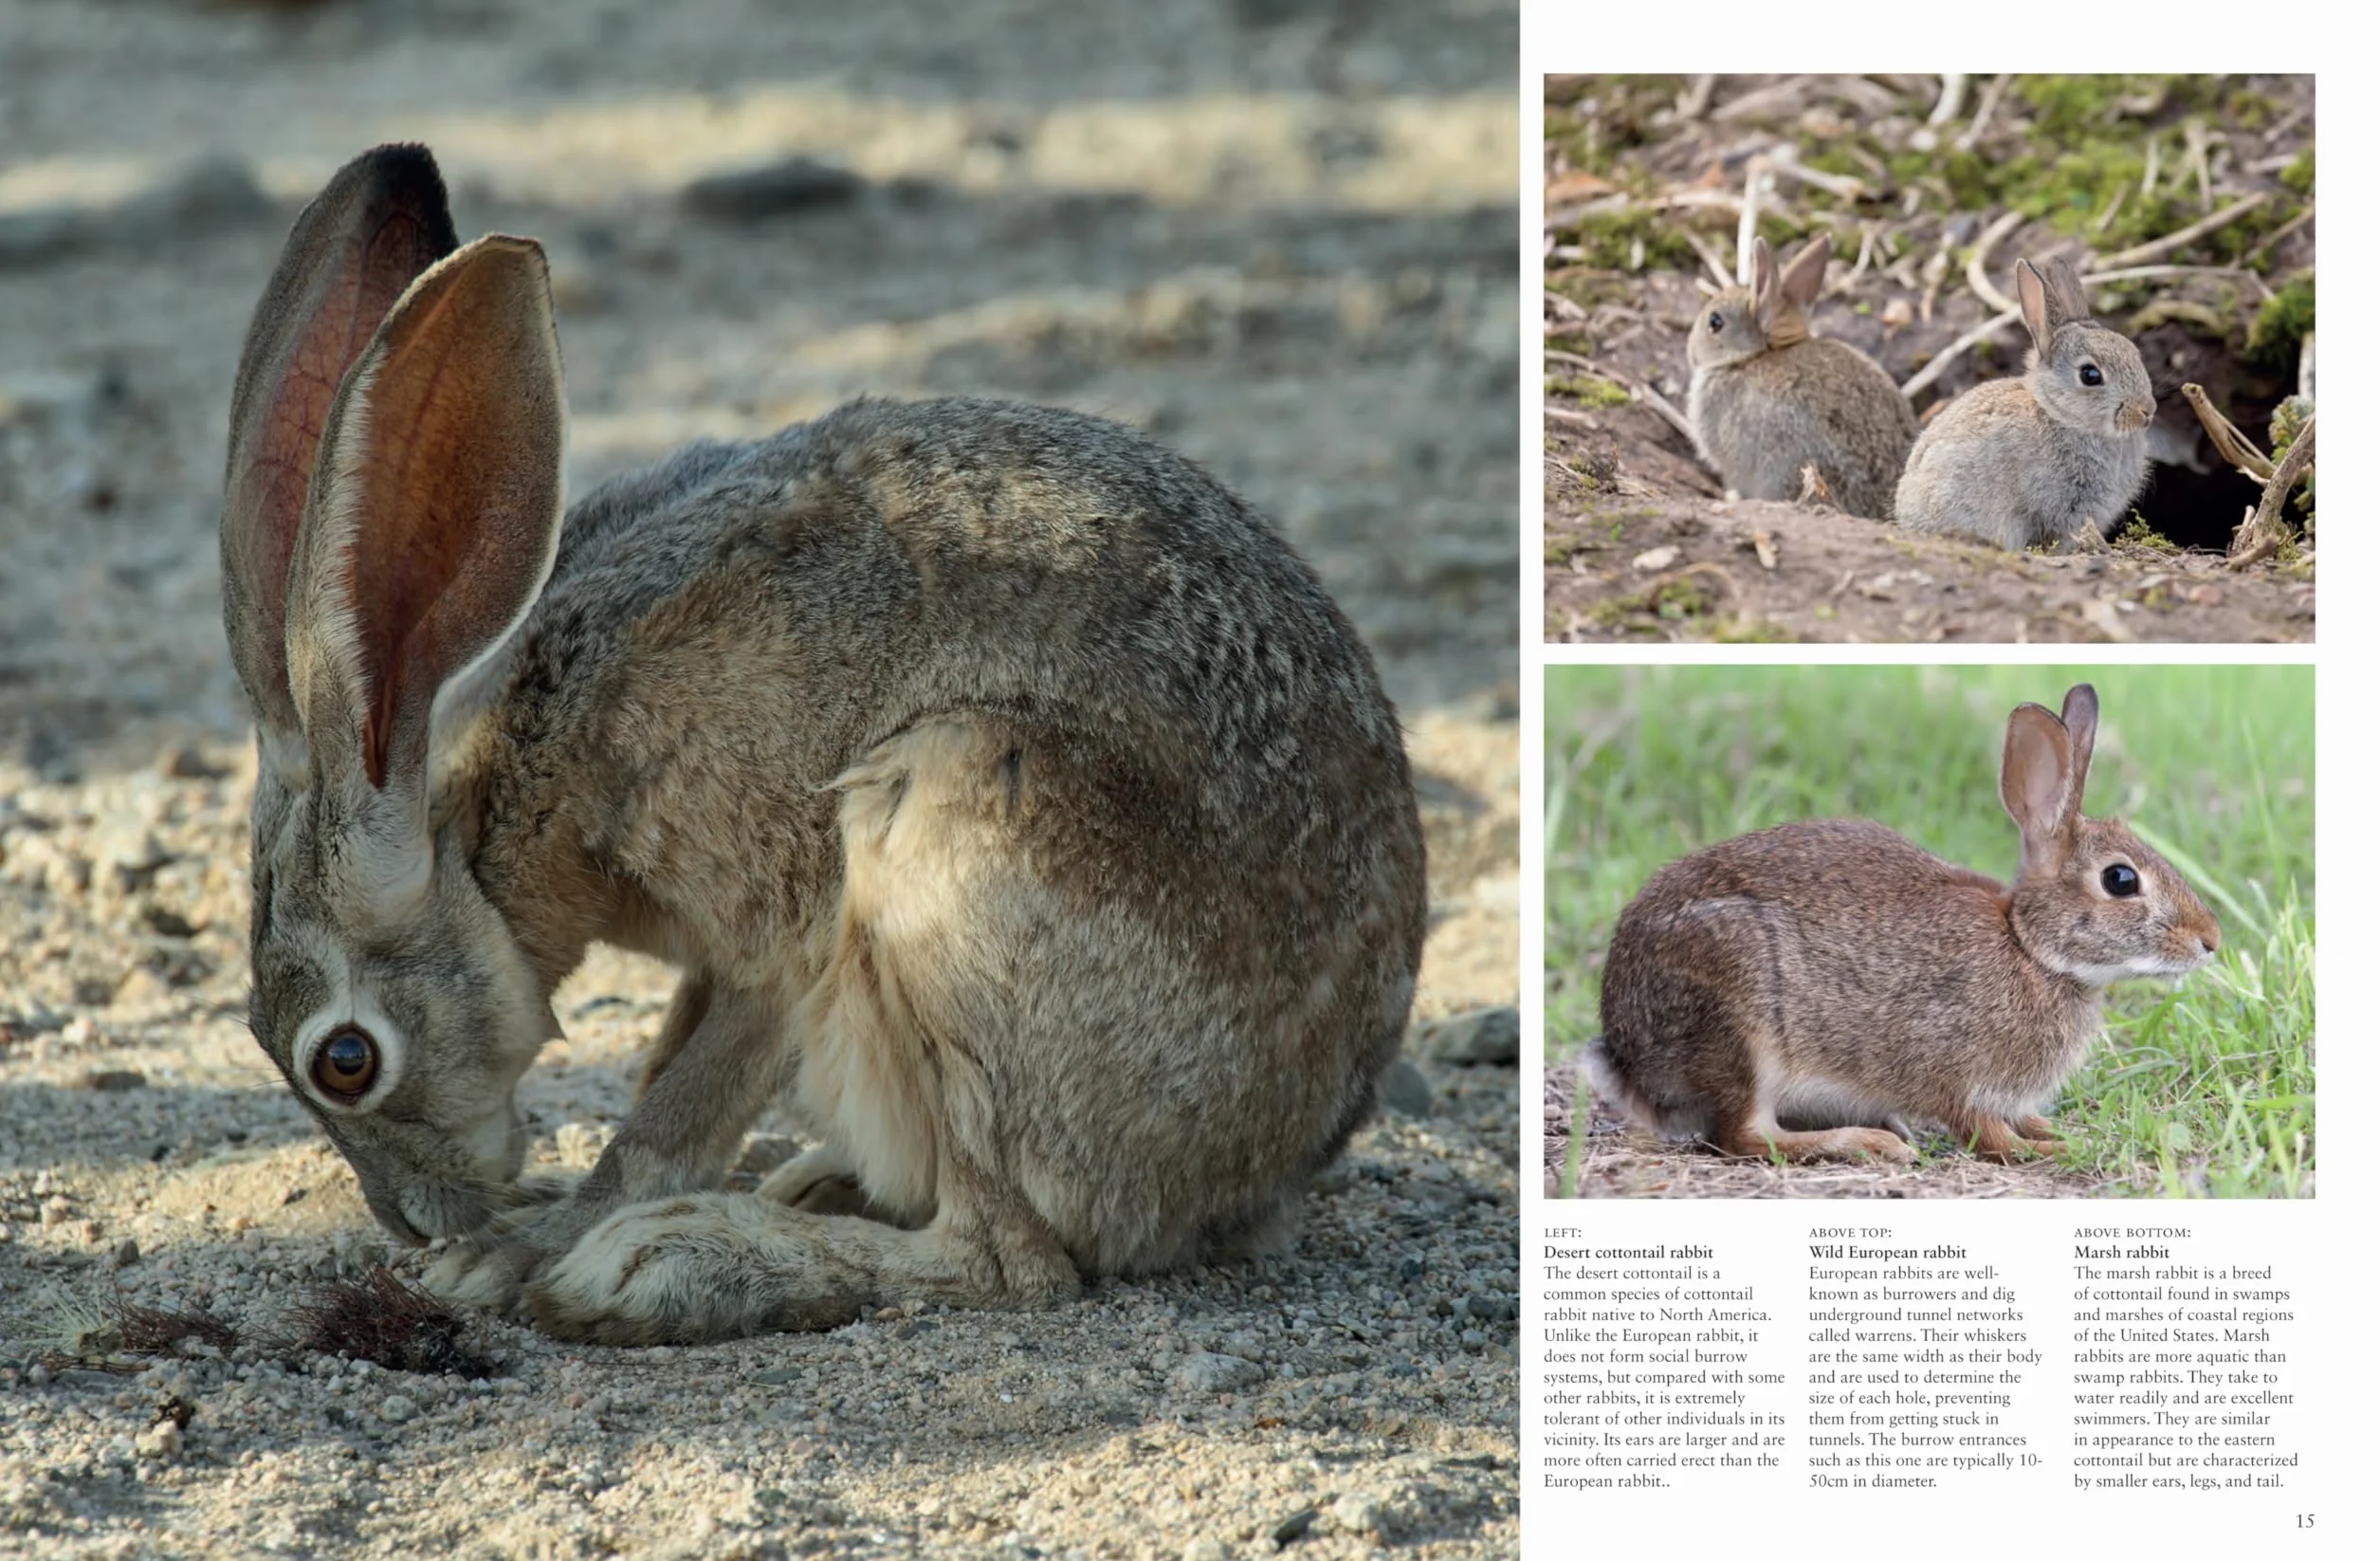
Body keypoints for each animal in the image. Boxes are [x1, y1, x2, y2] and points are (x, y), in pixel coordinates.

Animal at [218, 144, 1428, 1344]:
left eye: (345, 1060)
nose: (410, 1218)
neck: (492, 820)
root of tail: (1266, 1167)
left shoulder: (776, 928)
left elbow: (674, 1113)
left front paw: (519, 1248)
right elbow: (665, 1062)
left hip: (958, 824)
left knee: (1008, 1261)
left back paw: (678, 1265)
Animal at [1586, 685, 2220, 1166]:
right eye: (2120, 880)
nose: (2210, 941)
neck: (2030, 948)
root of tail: (1626, 1050)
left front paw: (2073, 1135)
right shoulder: (1955, 1073)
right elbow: (1989, 1135)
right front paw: (2055, 1152)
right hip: (1737, 1014)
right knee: (1744, 1137)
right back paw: (1872, 1143)